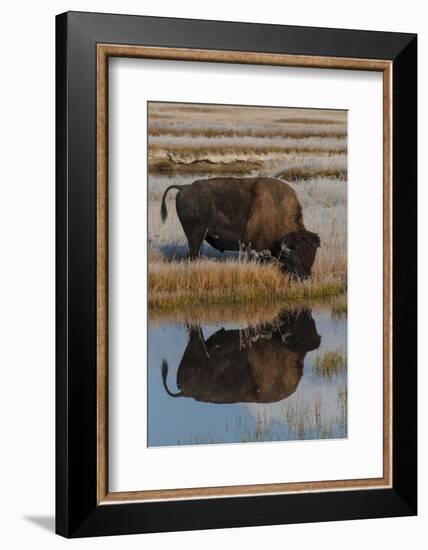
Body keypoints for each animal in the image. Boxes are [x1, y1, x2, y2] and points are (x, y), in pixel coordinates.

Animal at [161, 178, 320, 278]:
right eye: (296, 255)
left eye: (313, 255)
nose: (305, 277)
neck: (278, 210)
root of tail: (184, 187)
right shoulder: (257, 250)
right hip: (195, 236)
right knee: (193, 254)